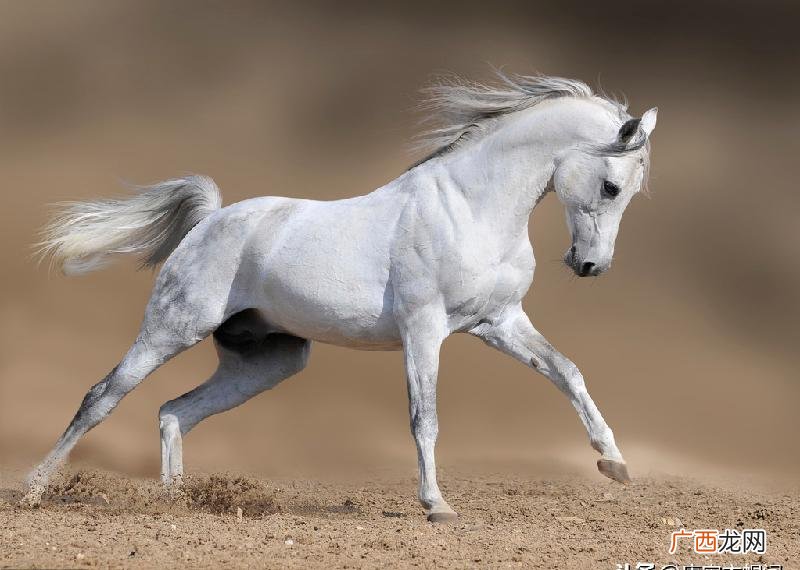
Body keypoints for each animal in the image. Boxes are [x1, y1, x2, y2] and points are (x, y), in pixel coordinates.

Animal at [24, 71, 657, 521]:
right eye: (611, 186)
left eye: (630, 192)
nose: (590, 266)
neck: (471, 207)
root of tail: (209, 221)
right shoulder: (424, 329)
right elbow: (425, 417)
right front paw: (436, 506)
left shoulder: (498, 322)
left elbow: (567, 372)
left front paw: (614, 463)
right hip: (171, 329)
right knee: (102, 397)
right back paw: (33, 490)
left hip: (269, 361)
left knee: (175, 411)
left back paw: (177, 501)